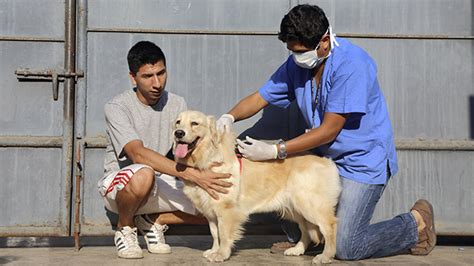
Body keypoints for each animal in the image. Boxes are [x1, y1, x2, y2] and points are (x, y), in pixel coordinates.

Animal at [172, 110, 338, 264]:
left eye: (194, 123)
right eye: (178, 122)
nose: (178, 133)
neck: (206, 158)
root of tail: (327, 161)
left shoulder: (226, 209)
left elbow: (223, 234)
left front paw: (221, 254)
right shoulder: (210, 211)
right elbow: (214, 233)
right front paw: (214, 250)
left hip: (310, 205)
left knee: (330, 226)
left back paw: (325, 256)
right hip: (295, 208)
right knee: (305, 230)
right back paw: (297, 249)